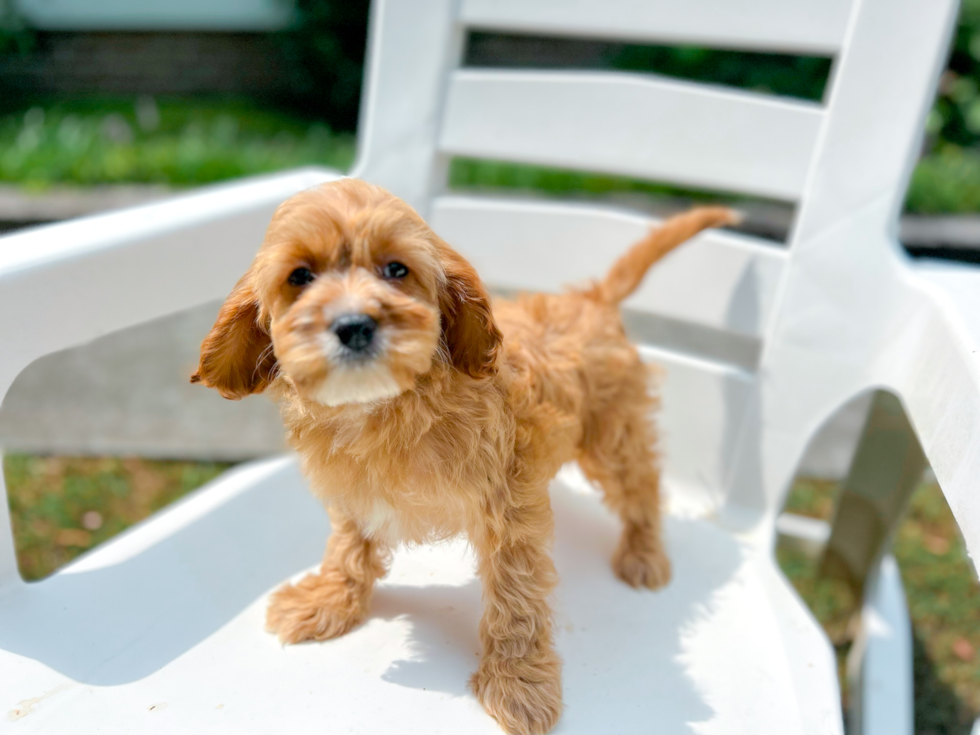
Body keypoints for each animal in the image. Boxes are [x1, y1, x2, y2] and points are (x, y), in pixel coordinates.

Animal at [193, 180, 736, 735]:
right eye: (299, 276)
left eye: (396, 270)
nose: (354, 325)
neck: (385, 407)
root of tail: (590, 299)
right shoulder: (352, 493)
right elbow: (347, 548)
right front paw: (329, 600)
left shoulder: (509, 508)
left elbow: (516, 598)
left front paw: (520, 683)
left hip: (614, 435)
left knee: (641, 484)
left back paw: (644, 554)